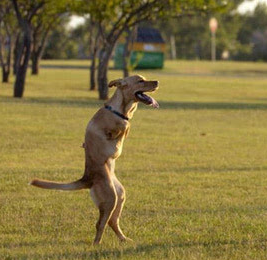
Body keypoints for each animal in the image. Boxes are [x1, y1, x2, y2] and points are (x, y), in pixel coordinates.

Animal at [32, 74, 160, 245]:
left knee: (112, 221)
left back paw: (123, 238)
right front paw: (123, 129)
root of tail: (87, 178)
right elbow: (123, 126)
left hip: (119, 195)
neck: (119, 110)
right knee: (100, 224)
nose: (157, 82)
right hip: (110, 197)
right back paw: (97, 244)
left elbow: (125, 126)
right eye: (140, 81)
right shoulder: (109, 129)